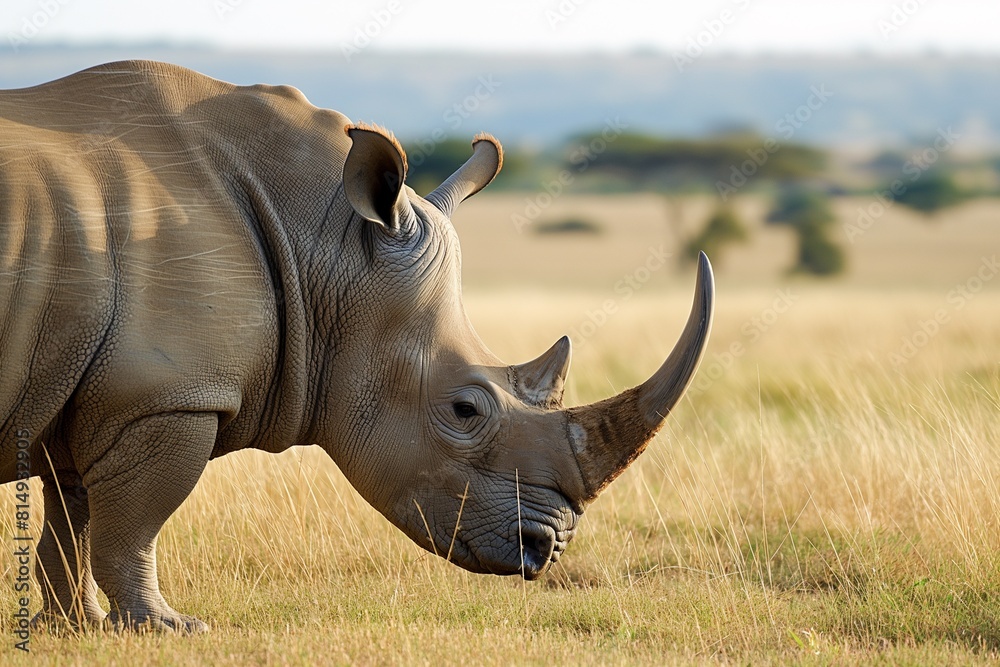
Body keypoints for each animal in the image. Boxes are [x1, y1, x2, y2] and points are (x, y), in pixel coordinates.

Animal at [0, 61, 714, 633]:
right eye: (464, 411)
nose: (545, 550)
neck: (324, 240)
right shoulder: (167, 395)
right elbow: (134, 521)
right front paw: (167, 629)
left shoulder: (100, 389)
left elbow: (75, 516)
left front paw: (77, 628)